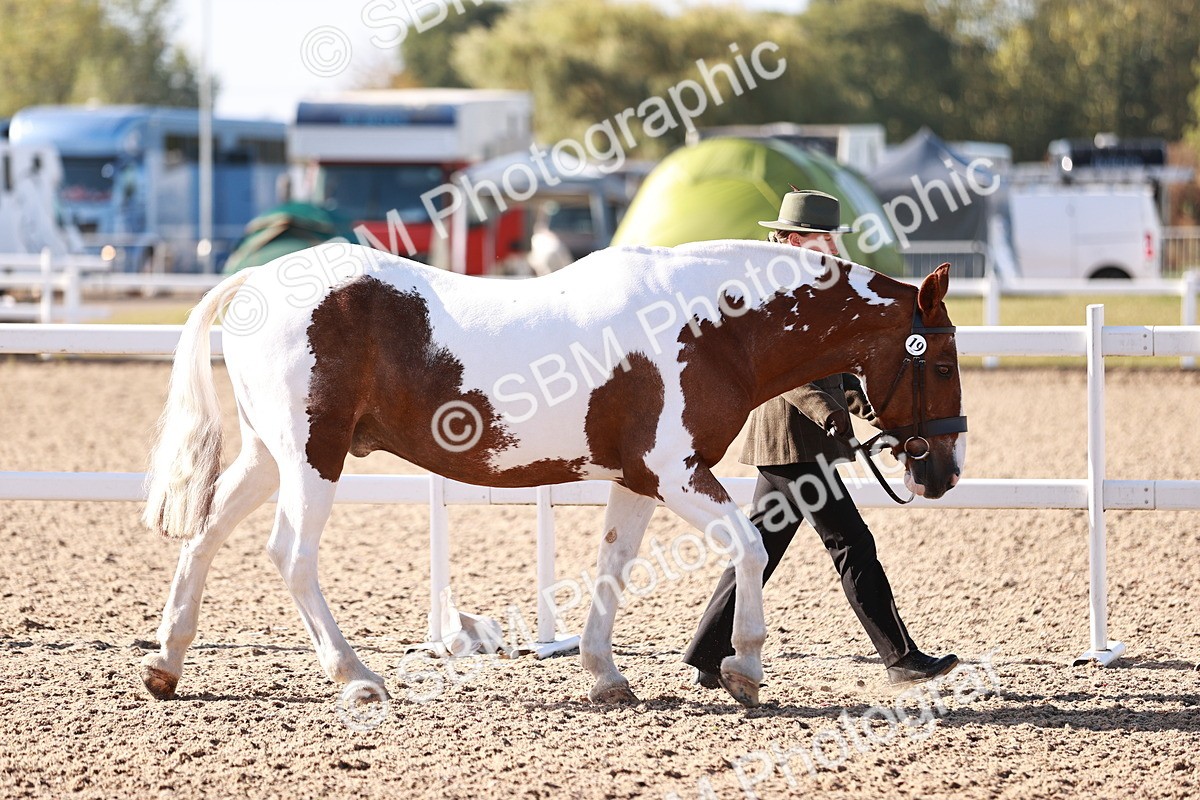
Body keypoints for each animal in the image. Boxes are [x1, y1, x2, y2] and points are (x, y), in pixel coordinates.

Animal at [139, 239, 966, 708]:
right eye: (941, 358)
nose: (946, 472)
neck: (708, 326)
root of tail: (255, 280)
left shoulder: (640, 479)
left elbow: (613, 566)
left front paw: (605, 675)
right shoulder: (676, 471)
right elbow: (750, 546)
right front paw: (746, 669)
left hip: (268, 456)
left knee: (205, 535)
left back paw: (166, 667)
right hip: (314, 457)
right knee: (291, 555)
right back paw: (355, 677)